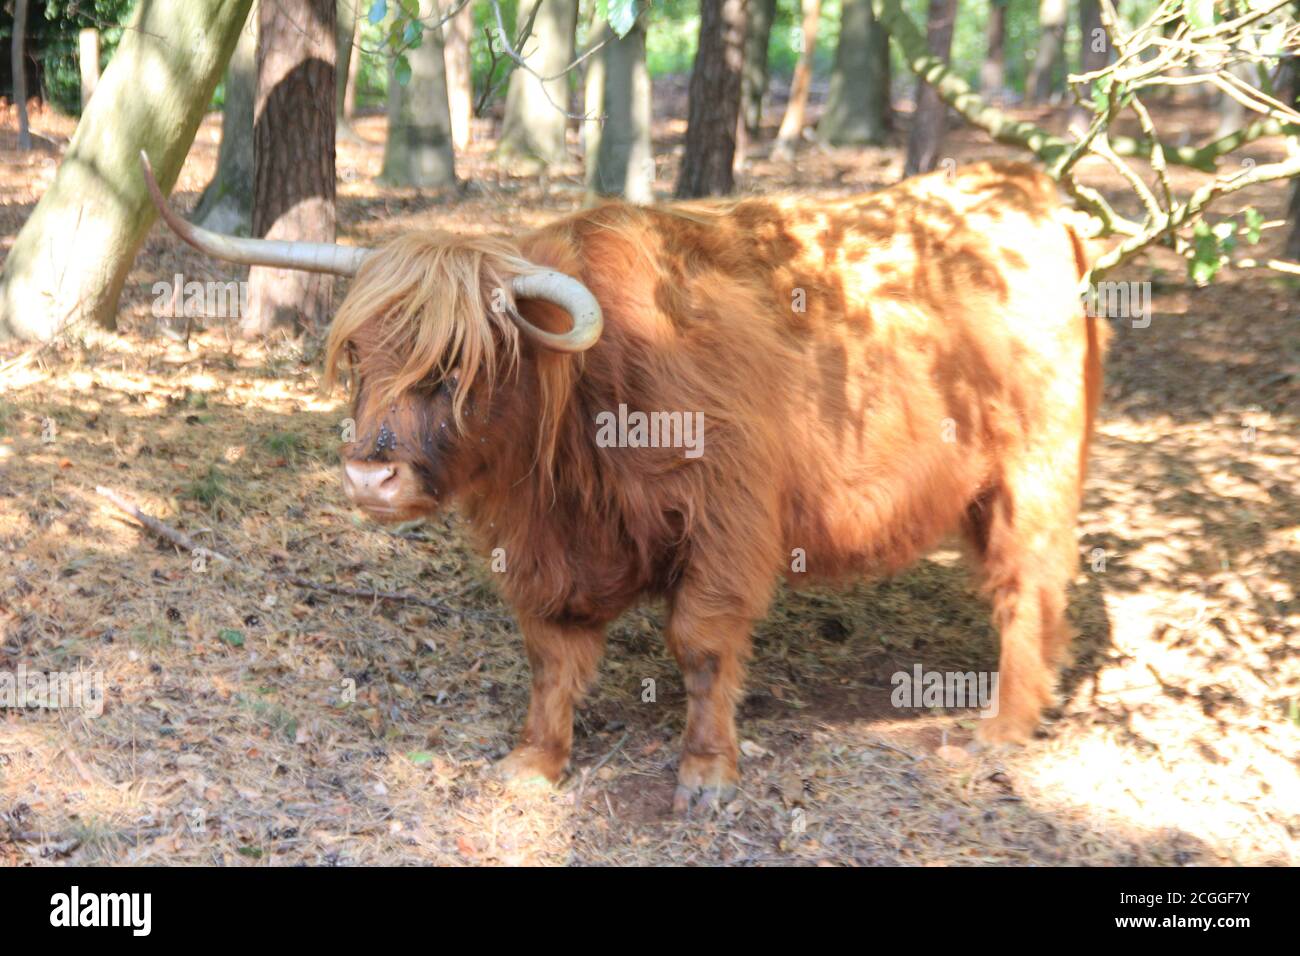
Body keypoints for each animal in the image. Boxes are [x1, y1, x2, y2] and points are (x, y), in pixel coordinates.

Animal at [144, 157, 1107, 816]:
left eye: (458, 365)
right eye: (357, 356)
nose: (369, 472)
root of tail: (1021, 186)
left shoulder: (729, 523)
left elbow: (701, 645)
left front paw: (707, 772)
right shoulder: (544, 550)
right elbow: (551, 655)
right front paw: (535, 761)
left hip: (1036, 465)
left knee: (1029, 583)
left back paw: (1001, 728)